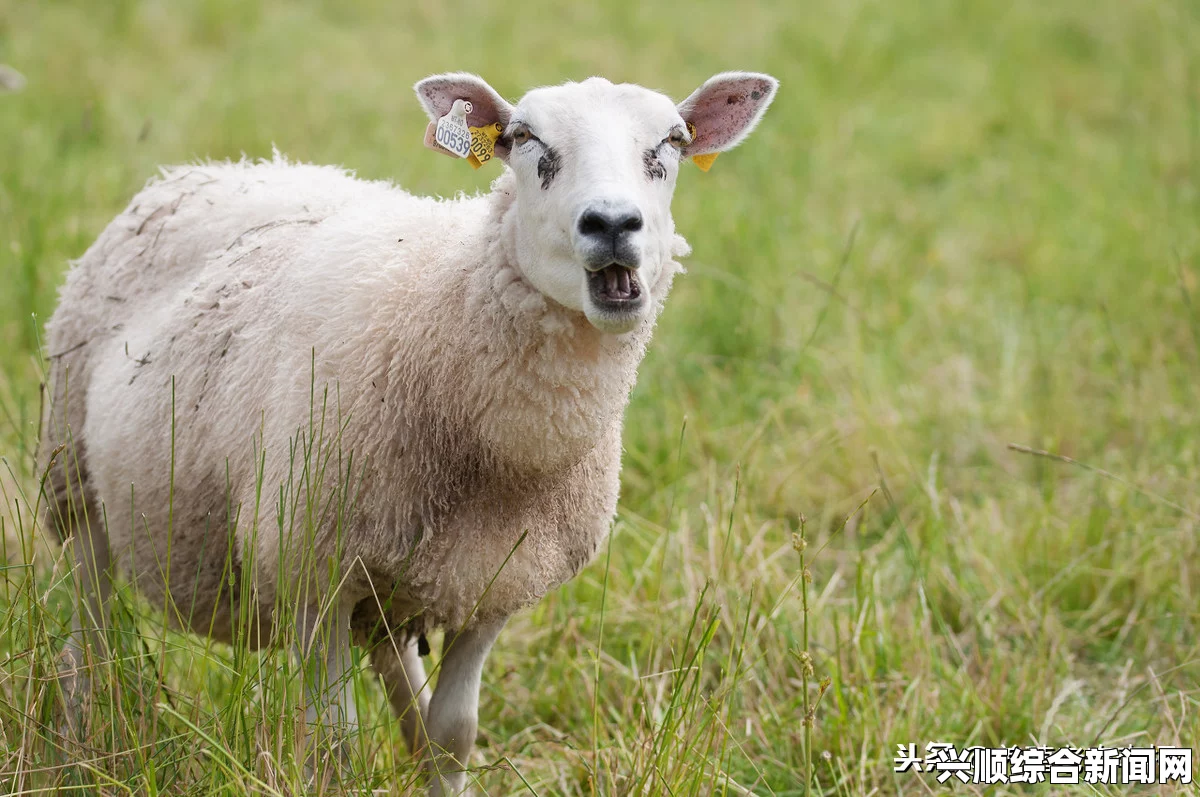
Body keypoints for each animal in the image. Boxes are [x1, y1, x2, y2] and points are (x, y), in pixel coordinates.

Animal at [39, 71, 777, 792]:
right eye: (524, 139)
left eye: (673, 142)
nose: (614, 223)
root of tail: (205, 169)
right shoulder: (309, 573)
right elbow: (332, 748)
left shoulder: (492, 584)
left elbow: (451, 735)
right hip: (75, 486)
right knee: (88, 641)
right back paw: (79, 751)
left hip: (400, 575)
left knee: (404, 686)